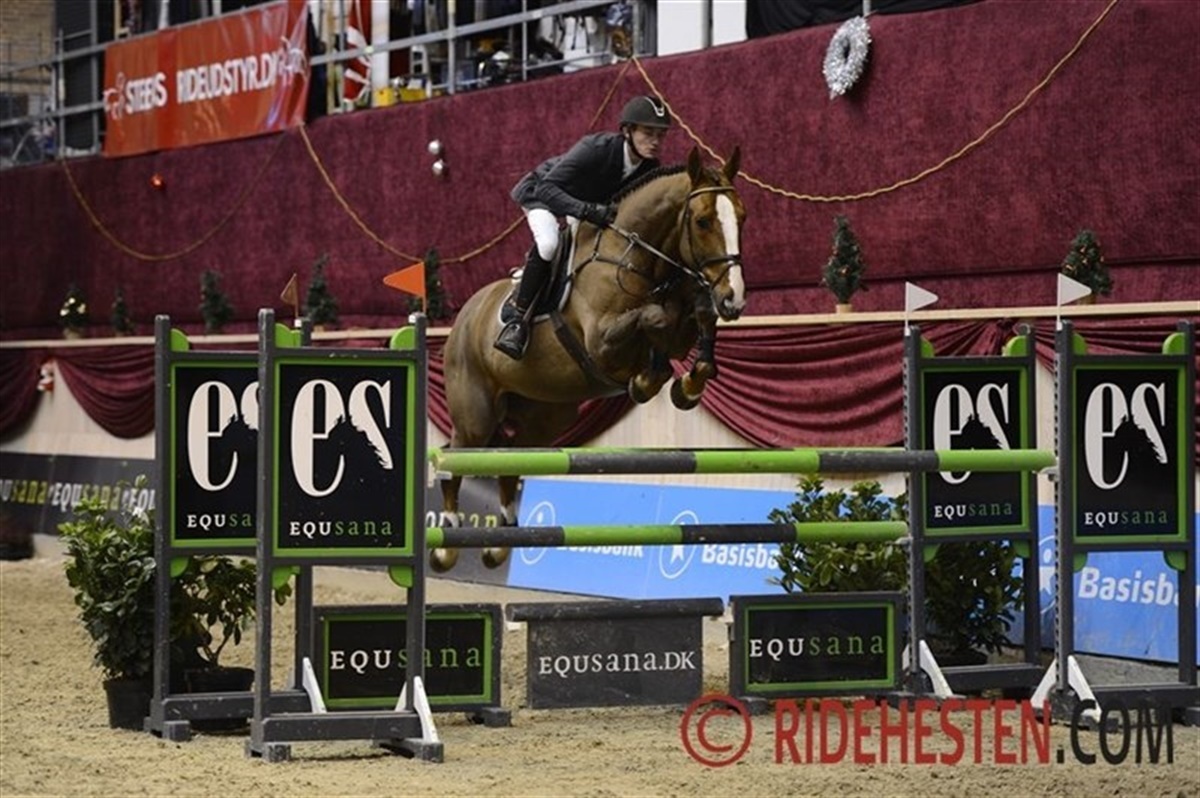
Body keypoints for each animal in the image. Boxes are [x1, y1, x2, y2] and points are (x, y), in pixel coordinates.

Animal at [433, 146, 746, 571]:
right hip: (475, 415)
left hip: (545, 417)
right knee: (455, 458)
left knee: (511, 462)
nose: (735, 298)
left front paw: (688, 385)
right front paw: (646, 381)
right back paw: (446, 543)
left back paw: (501, 542)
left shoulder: (685, 315)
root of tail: (465, 315)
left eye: (742, 217)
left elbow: (695, 316)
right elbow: (654, 318)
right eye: (702, 221)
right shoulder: (601, 342)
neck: (636, 256)